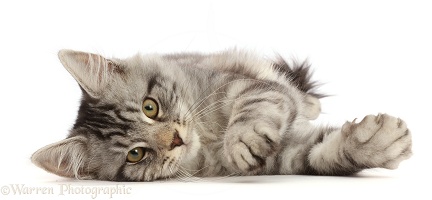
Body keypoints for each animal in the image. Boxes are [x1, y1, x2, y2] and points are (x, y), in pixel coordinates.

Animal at [31, 48, 412, 181]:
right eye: (136, 154)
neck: (209, 138)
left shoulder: (248, 86)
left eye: (150, 107)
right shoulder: (285, 156)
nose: (176, 139)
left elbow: (253, 109)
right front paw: (376, 144)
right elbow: (323, 154)